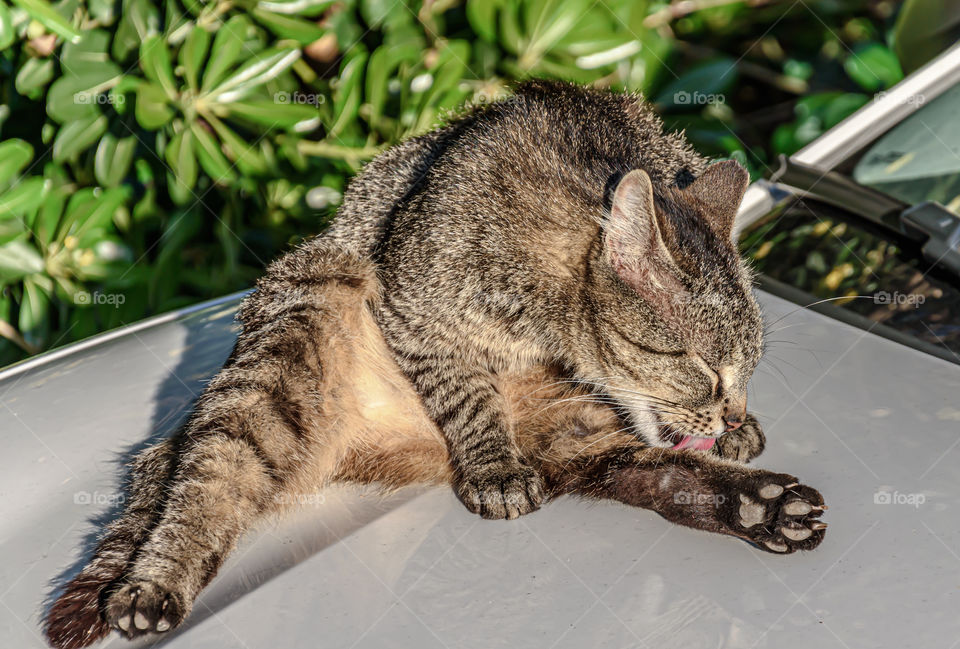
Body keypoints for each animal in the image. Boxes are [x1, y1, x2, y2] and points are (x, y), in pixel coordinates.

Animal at [45, 81, 824, 648]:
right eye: (704, 368)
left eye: (748, 370)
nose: (730, 409)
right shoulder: (413, 311)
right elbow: (466, 393)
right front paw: (494, 466)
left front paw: (741, 435)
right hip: (295, 329)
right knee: (208, 474)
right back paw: (154, 585)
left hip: (575, 433)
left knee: (655, 473)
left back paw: (764, 506)